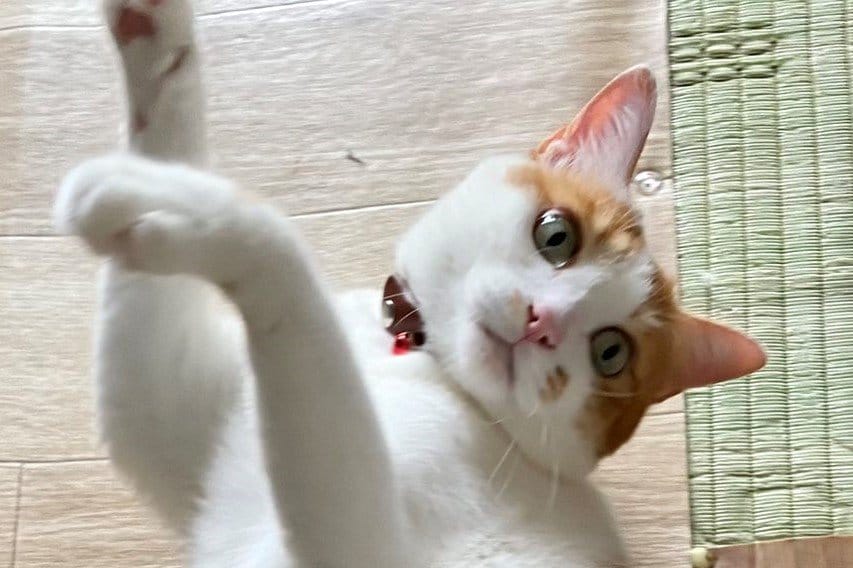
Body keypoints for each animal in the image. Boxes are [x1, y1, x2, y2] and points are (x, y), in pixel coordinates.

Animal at [54, 1, 766, 566]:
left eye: (610, 353)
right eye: (556, 236)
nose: (544, 320)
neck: (415, 361)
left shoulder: (361, 542)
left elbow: (281, 258)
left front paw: (198, 211)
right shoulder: (169, 426)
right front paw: (154, 41)